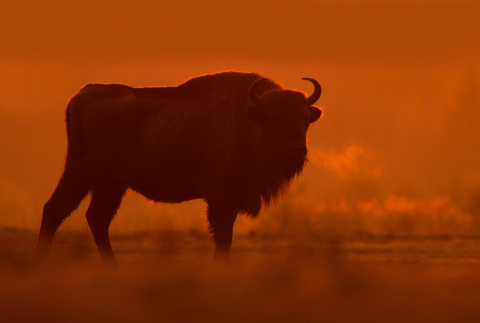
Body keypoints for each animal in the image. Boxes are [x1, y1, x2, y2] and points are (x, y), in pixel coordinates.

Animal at [35, 71, 322, 264]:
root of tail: (81, 95)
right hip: (82, 173)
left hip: (112, 184)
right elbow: (223, 237)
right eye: (274, 118)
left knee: (97, 218)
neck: (249, 120)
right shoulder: (221, 201)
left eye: (304, 119)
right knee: (55, 209)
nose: (297, 150)